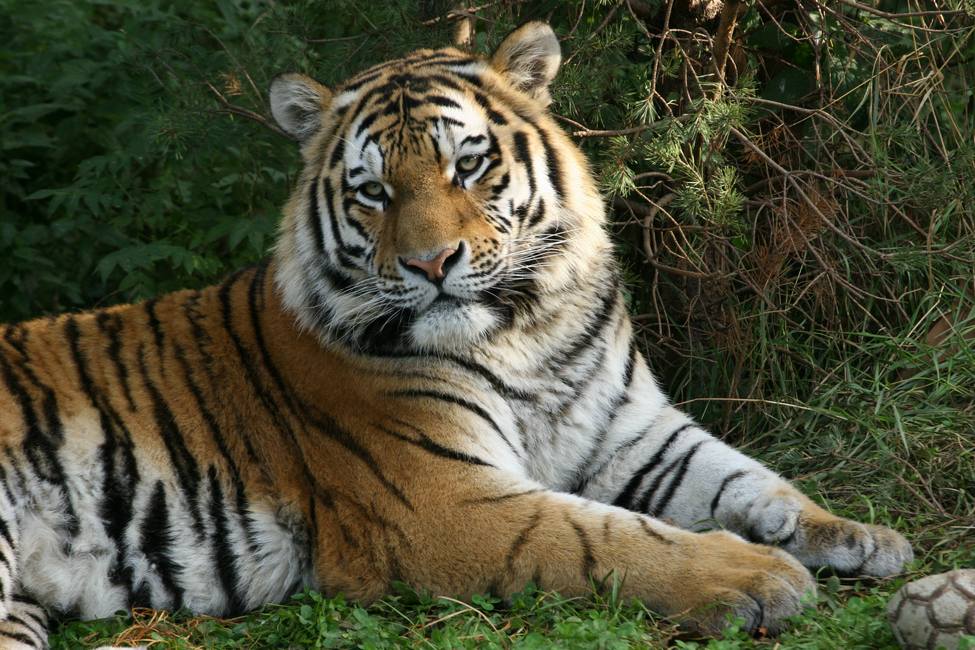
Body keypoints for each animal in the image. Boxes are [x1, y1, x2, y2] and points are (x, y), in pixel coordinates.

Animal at [0, 21, 916, 648]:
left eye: (466, 166)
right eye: (372, 191)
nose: (430, 262)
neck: (527, 331)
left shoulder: (632, 430)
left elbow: (749, 480)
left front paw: (857, 537)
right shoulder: (441, 500)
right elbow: (602, 535)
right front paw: (752, 574)